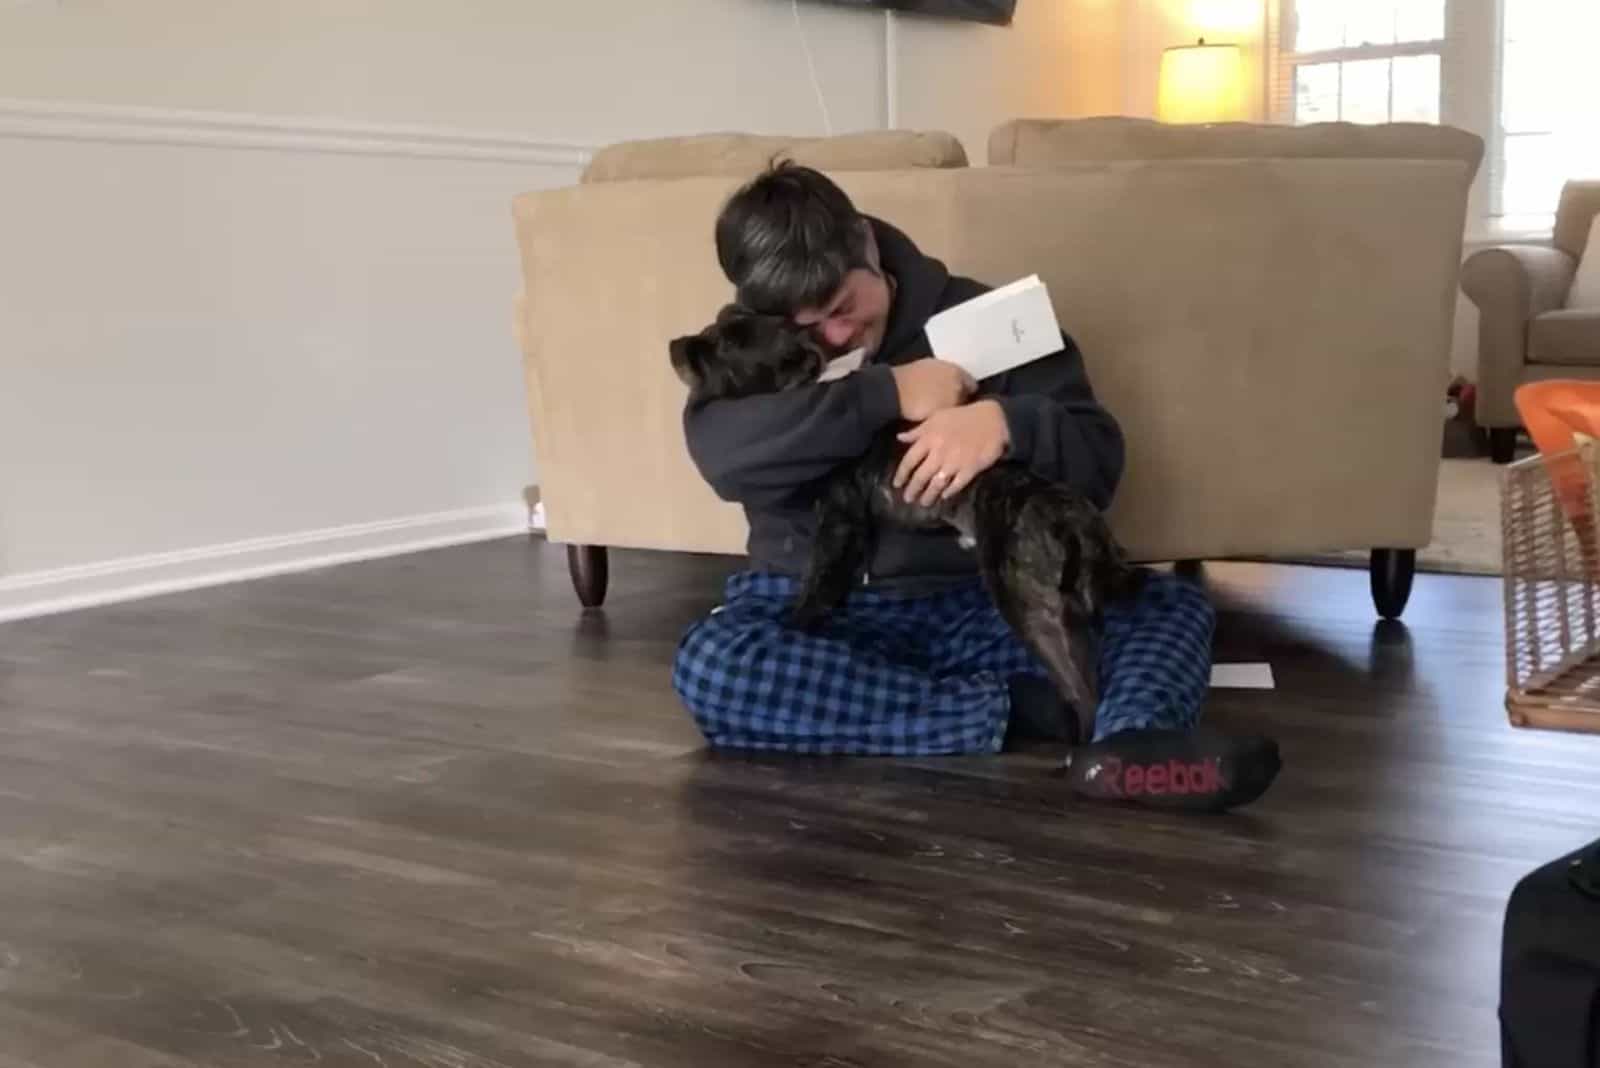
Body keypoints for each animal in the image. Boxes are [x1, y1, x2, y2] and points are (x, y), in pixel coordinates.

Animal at [668, 303, 1145, 738]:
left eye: (727, 346)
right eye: (717, 323)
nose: (675, 344)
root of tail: (1074, 520)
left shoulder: (840, 521)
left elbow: (817, 585)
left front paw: (795, 624)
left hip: (1031, 605)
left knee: (1084, 692)